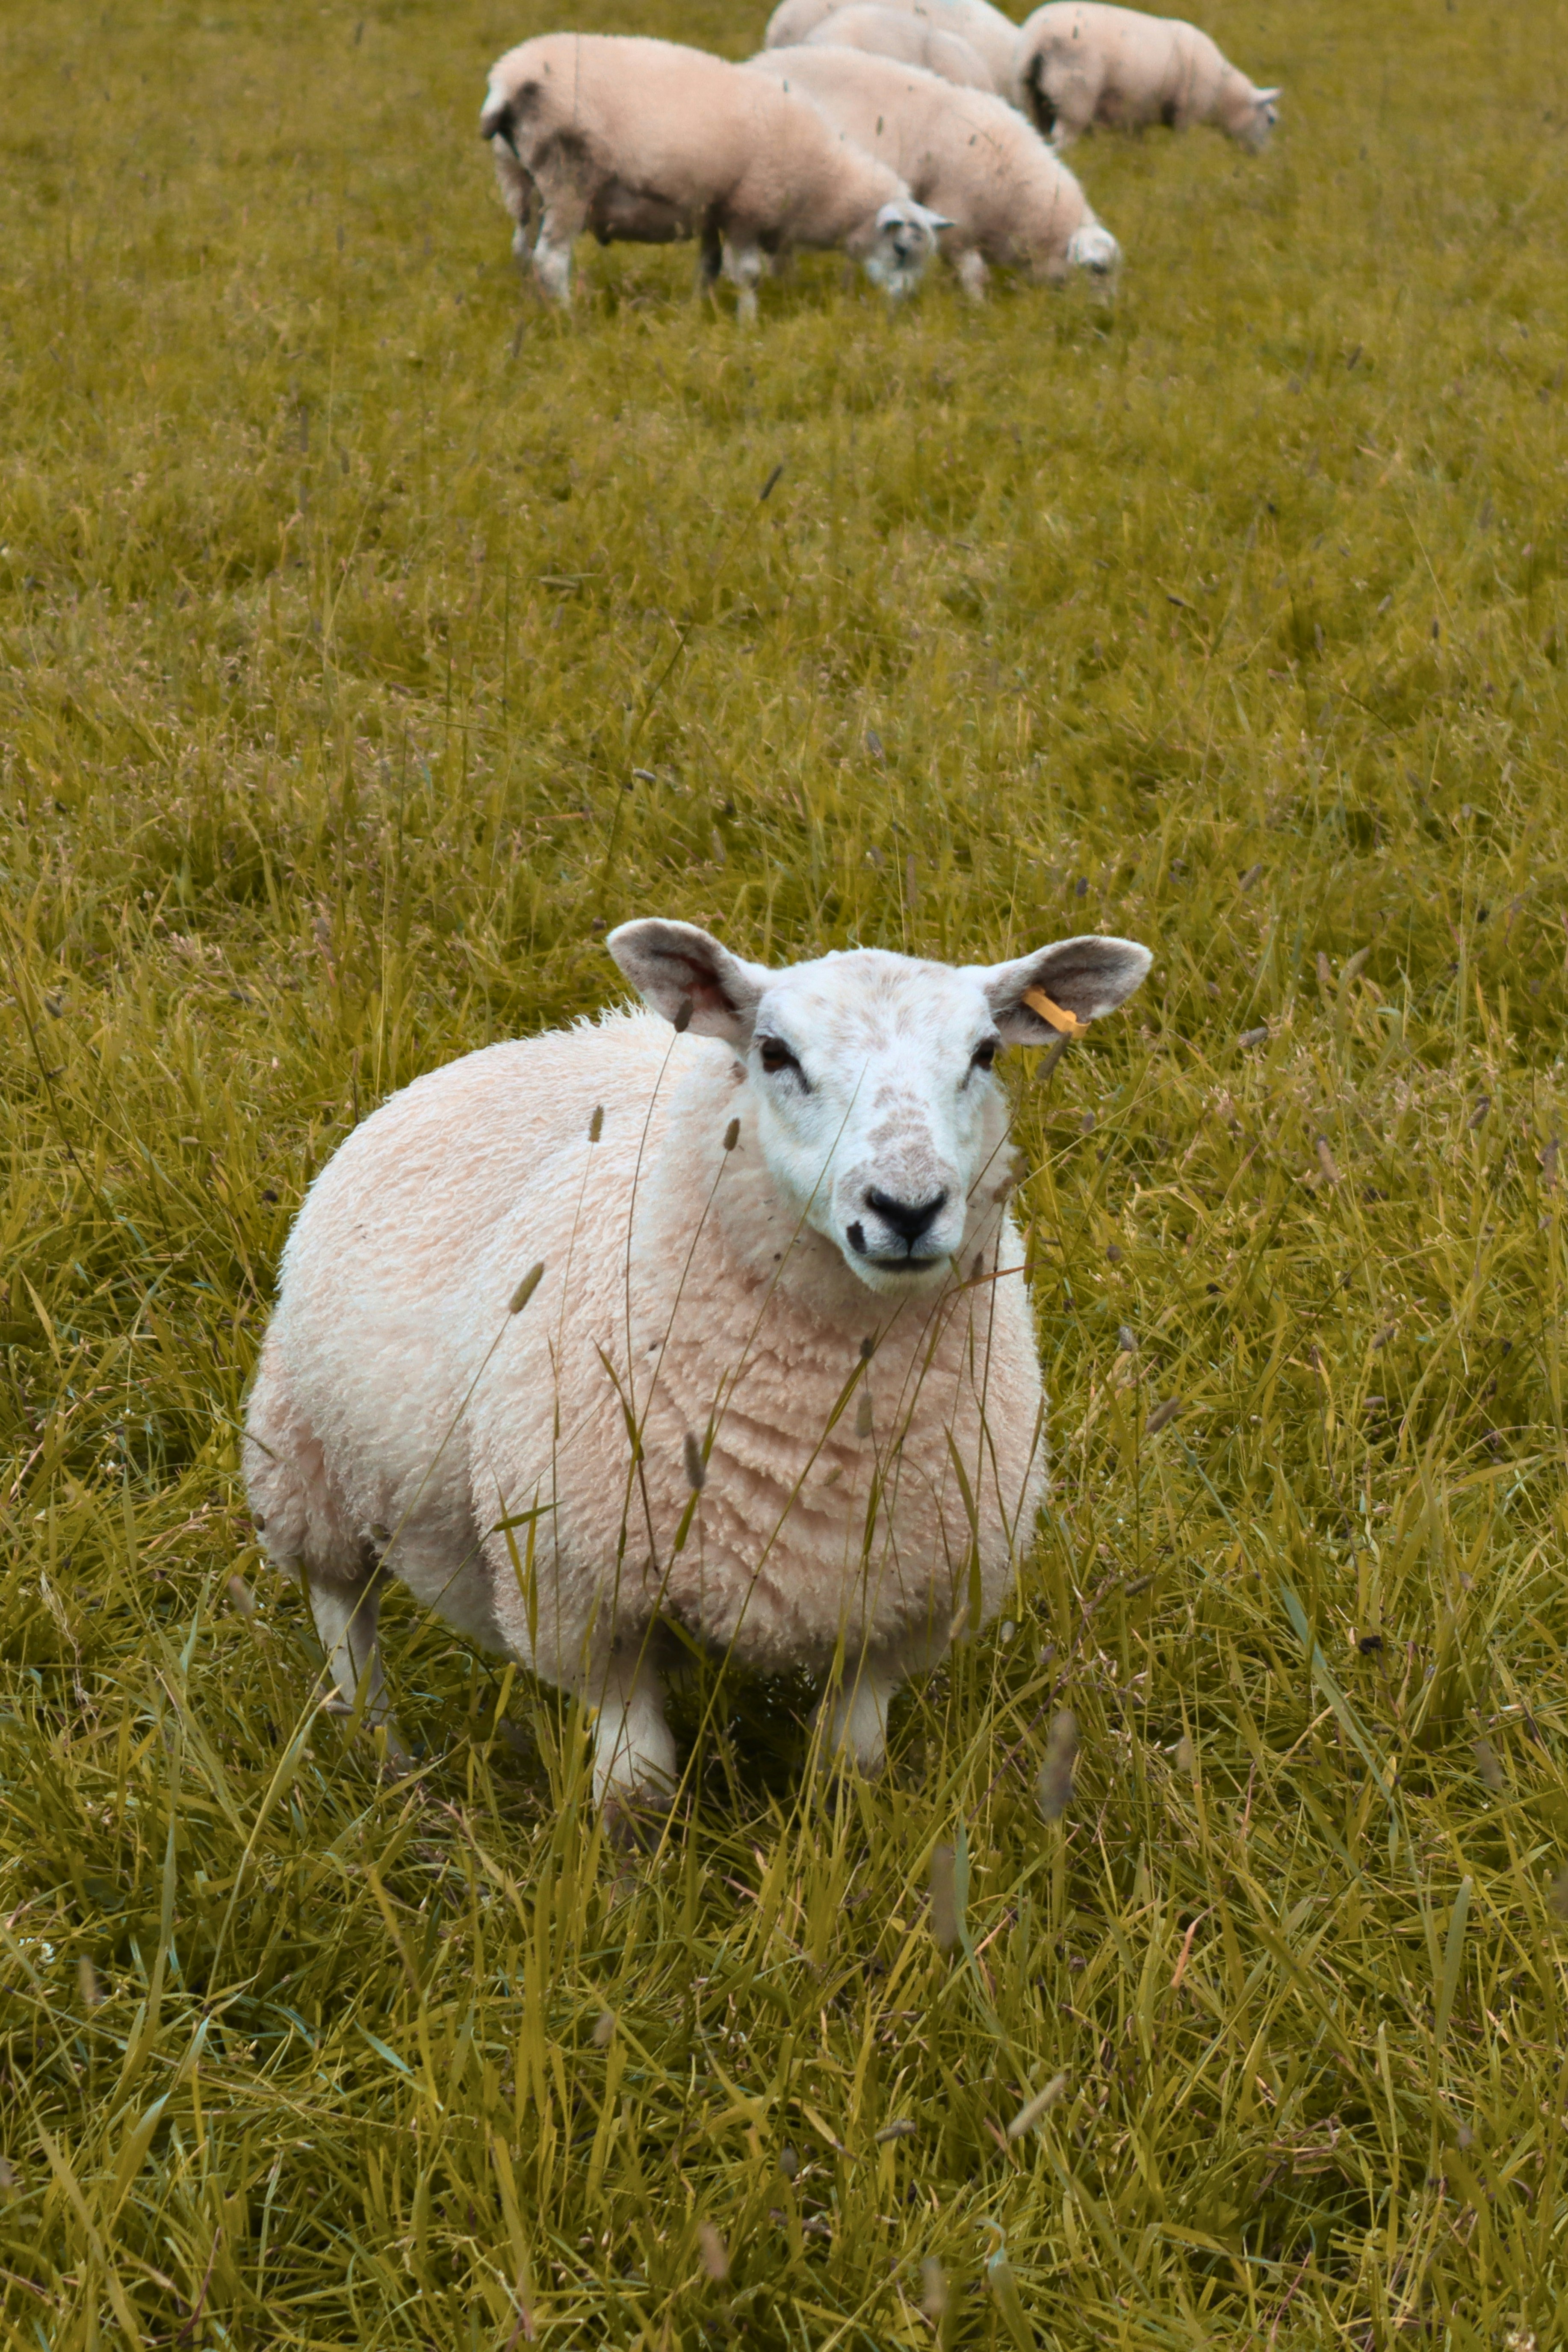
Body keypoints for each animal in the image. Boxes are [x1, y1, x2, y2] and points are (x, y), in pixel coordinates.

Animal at [244, 921, 1151, 1815]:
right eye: (775, 1053)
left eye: (985, 1053)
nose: (906, 1208)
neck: (827, 1409)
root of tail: (546, 1037)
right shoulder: (583, 1596)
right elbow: (632, 1793)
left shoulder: (896, 1611)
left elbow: (847, 1772)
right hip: (302, 1454)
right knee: (344, 1609)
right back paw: (381, 1757)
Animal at [478, 33, 948, 318]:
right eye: (901, 250)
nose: (902, 308)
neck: (823, 183)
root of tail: (508, 80)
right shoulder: (747, 208)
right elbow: (748, 274)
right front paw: (748, 323)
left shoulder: (711, 207)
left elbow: (709, 265)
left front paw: (698, 311)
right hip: (569, 180)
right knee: (551, 258)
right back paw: (568, 316)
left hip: (518, 180)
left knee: (522, 249)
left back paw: (532, 307)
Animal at [748, 47, 1120, 296]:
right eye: (1097, 269)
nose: (1102, 322)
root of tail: (753, 63)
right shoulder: (956, 215)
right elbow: (973, 272)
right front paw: (976, 306)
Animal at [1012, 3, 1280, 151]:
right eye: (1271, 120)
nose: (1262, 157)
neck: (1223, 94)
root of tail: (1038, 36)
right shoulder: (1188, 115)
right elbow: (1182, 142)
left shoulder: (1137, 111)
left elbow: (1135, 139)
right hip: (1073, 93)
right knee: (1063, 137)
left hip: (1030, 96)